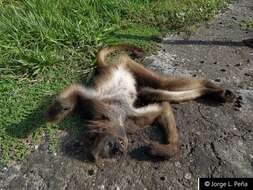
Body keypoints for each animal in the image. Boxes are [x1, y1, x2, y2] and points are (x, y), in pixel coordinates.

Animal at [45, 43, 235, 161]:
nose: (120, 149)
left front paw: (56, 111)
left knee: (162, 84)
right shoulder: (129, 125)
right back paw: (213, 93)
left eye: (110, 144)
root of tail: (106, 67)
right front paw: (167, 150)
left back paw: (210, 87)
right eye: (111, 150)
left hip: (125, 63)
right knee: (153, 92)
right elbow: (162, 108)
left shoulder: (99, 106)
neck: (116, 119)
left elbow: (77, 92)